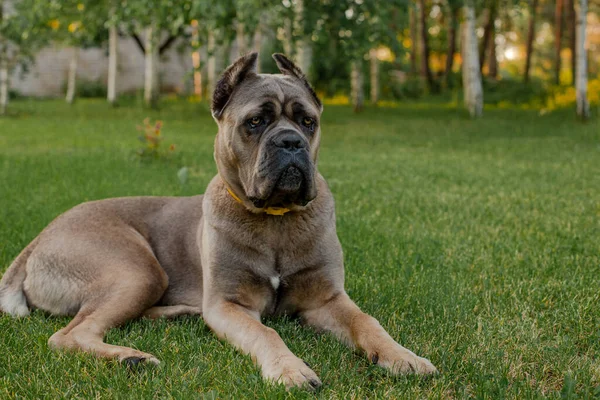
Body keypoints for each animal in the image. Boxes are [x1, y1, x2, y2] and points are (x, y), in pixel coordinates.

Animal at [2, 52, 438, 388]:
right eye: (255, 122)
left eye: (308, 121)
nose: (291, 142)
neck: (275, 218)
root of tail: (38, 239)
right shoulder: (231, 304)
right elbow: (266, 331)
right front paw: (290, 370)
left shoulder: (327, 299)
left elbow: (367, 323)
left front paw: (403, 356)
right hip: (135, 269)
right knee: (68, 335)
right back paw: (131, 358)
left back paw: (177, 315)